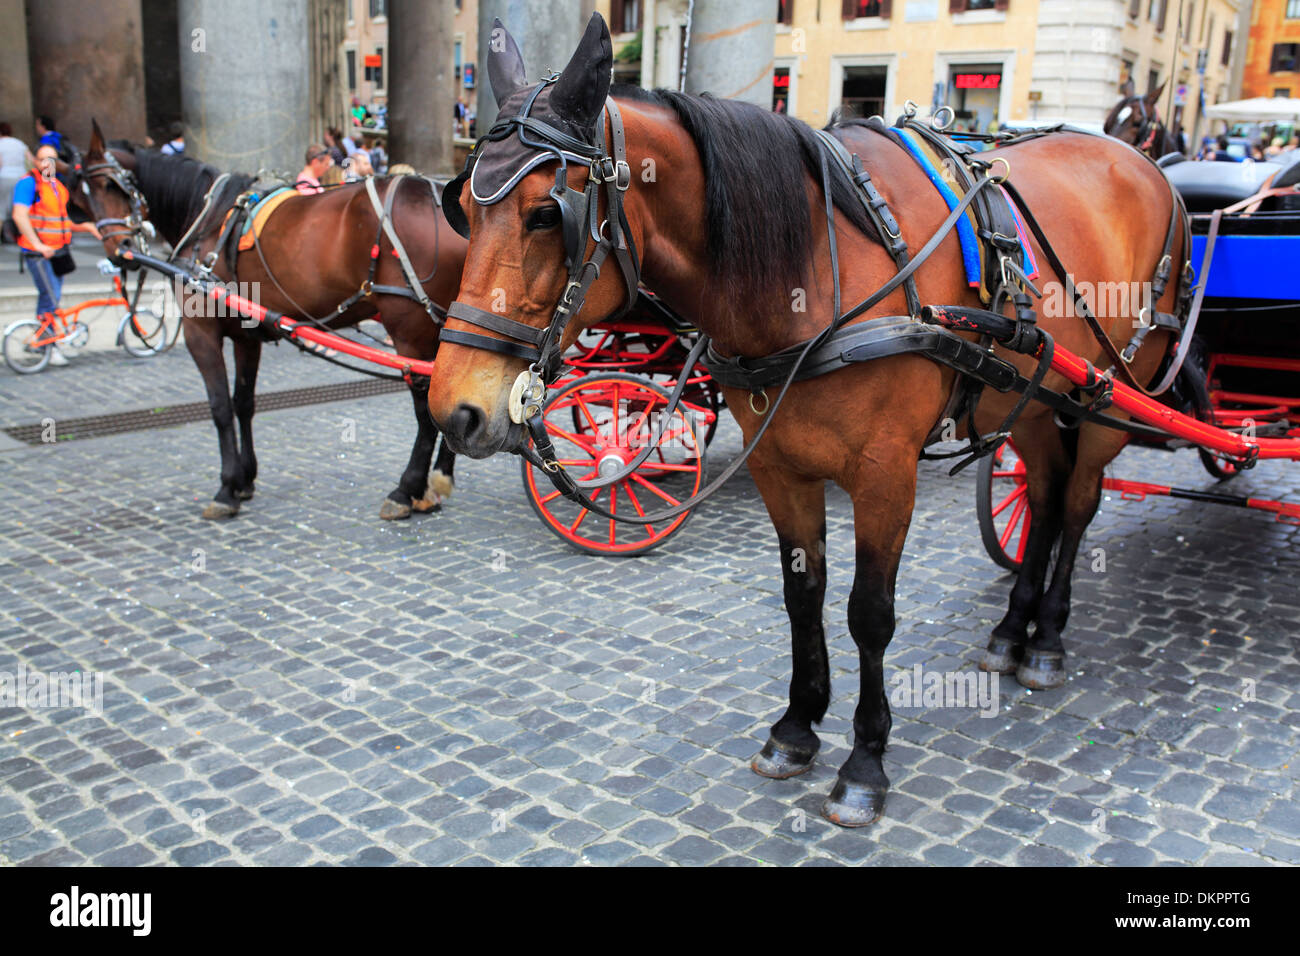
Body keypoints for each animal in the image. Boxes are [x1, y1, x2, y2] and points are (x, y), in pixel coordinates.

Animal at [73, 123, 465, 522]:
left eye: (110, 185)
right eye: (82, 195)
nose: (119, 250)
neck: (210, 219)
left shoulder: (201, 330)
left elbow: (219, 407)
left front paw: (227, 487)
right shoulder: (246, 336)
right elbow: (243, 402)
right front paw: (245, 479)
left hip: (409, 329)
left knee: (426, 410)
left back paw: (408, 488)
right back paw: (437, 479)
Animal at [423, 11, 1190, 827]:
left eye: (546, 214)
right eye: (461, 209)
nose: (454, 409)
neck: (816, 272)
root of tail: (1147, 168)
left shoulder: (886, 477)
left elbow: (869, 613)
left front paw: (865, 761)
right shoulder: (780, 466)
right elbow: (803, 596)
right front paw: (797, 728)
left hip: (1111, 397)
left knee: (1076, 505)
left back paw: (1047, 640)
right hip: (1039, 401)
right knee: (1041, 498)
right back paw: (1014, 631)